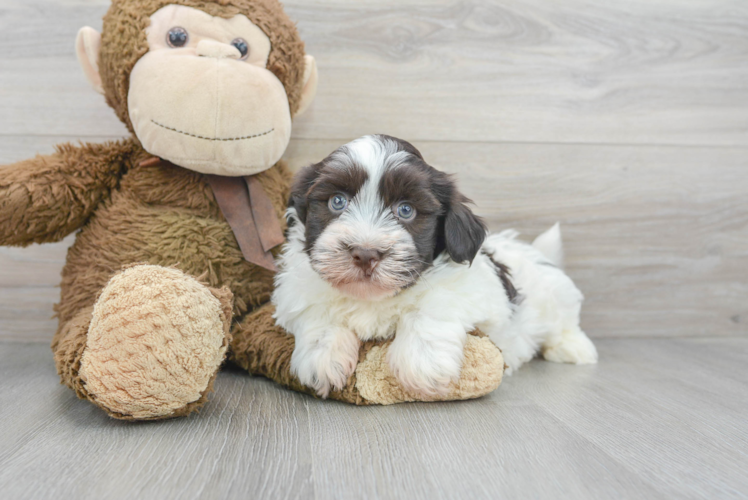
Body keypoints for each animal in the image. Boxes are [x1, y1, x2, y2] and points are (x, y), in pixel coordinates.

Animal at [272, 135, 600, 396]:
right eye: (337, 202)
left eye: (406, 210)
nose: (365, 254)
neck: (374, 299)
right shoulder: (297, 289)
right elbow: (319, 314)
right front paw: (322, 358)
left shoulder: (474, 289)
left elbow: (431, 305)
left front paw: (422, 362)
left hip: (556, 297)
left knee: (564, 322)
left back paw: (573, 347)